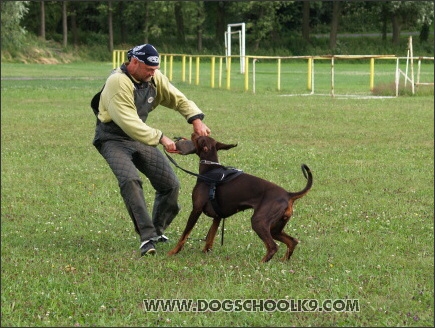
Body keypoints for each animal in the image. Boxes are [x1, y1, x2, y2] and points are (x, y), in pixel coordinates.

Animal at [168, 132, 314, 262]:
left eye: (198, 138)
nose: (193, 133)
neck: (210, 171)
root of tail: (289, 194)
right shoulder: (217, 217)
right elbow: (210, 237)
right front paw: (205, 252)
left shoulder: (196, 209)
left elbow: (184, 235)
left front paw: (173, 252)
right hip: (275, 228)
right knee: (292, 241)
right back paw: (283, 261)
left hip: (259, 221)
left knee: (273, 247)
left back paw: (261, 263)